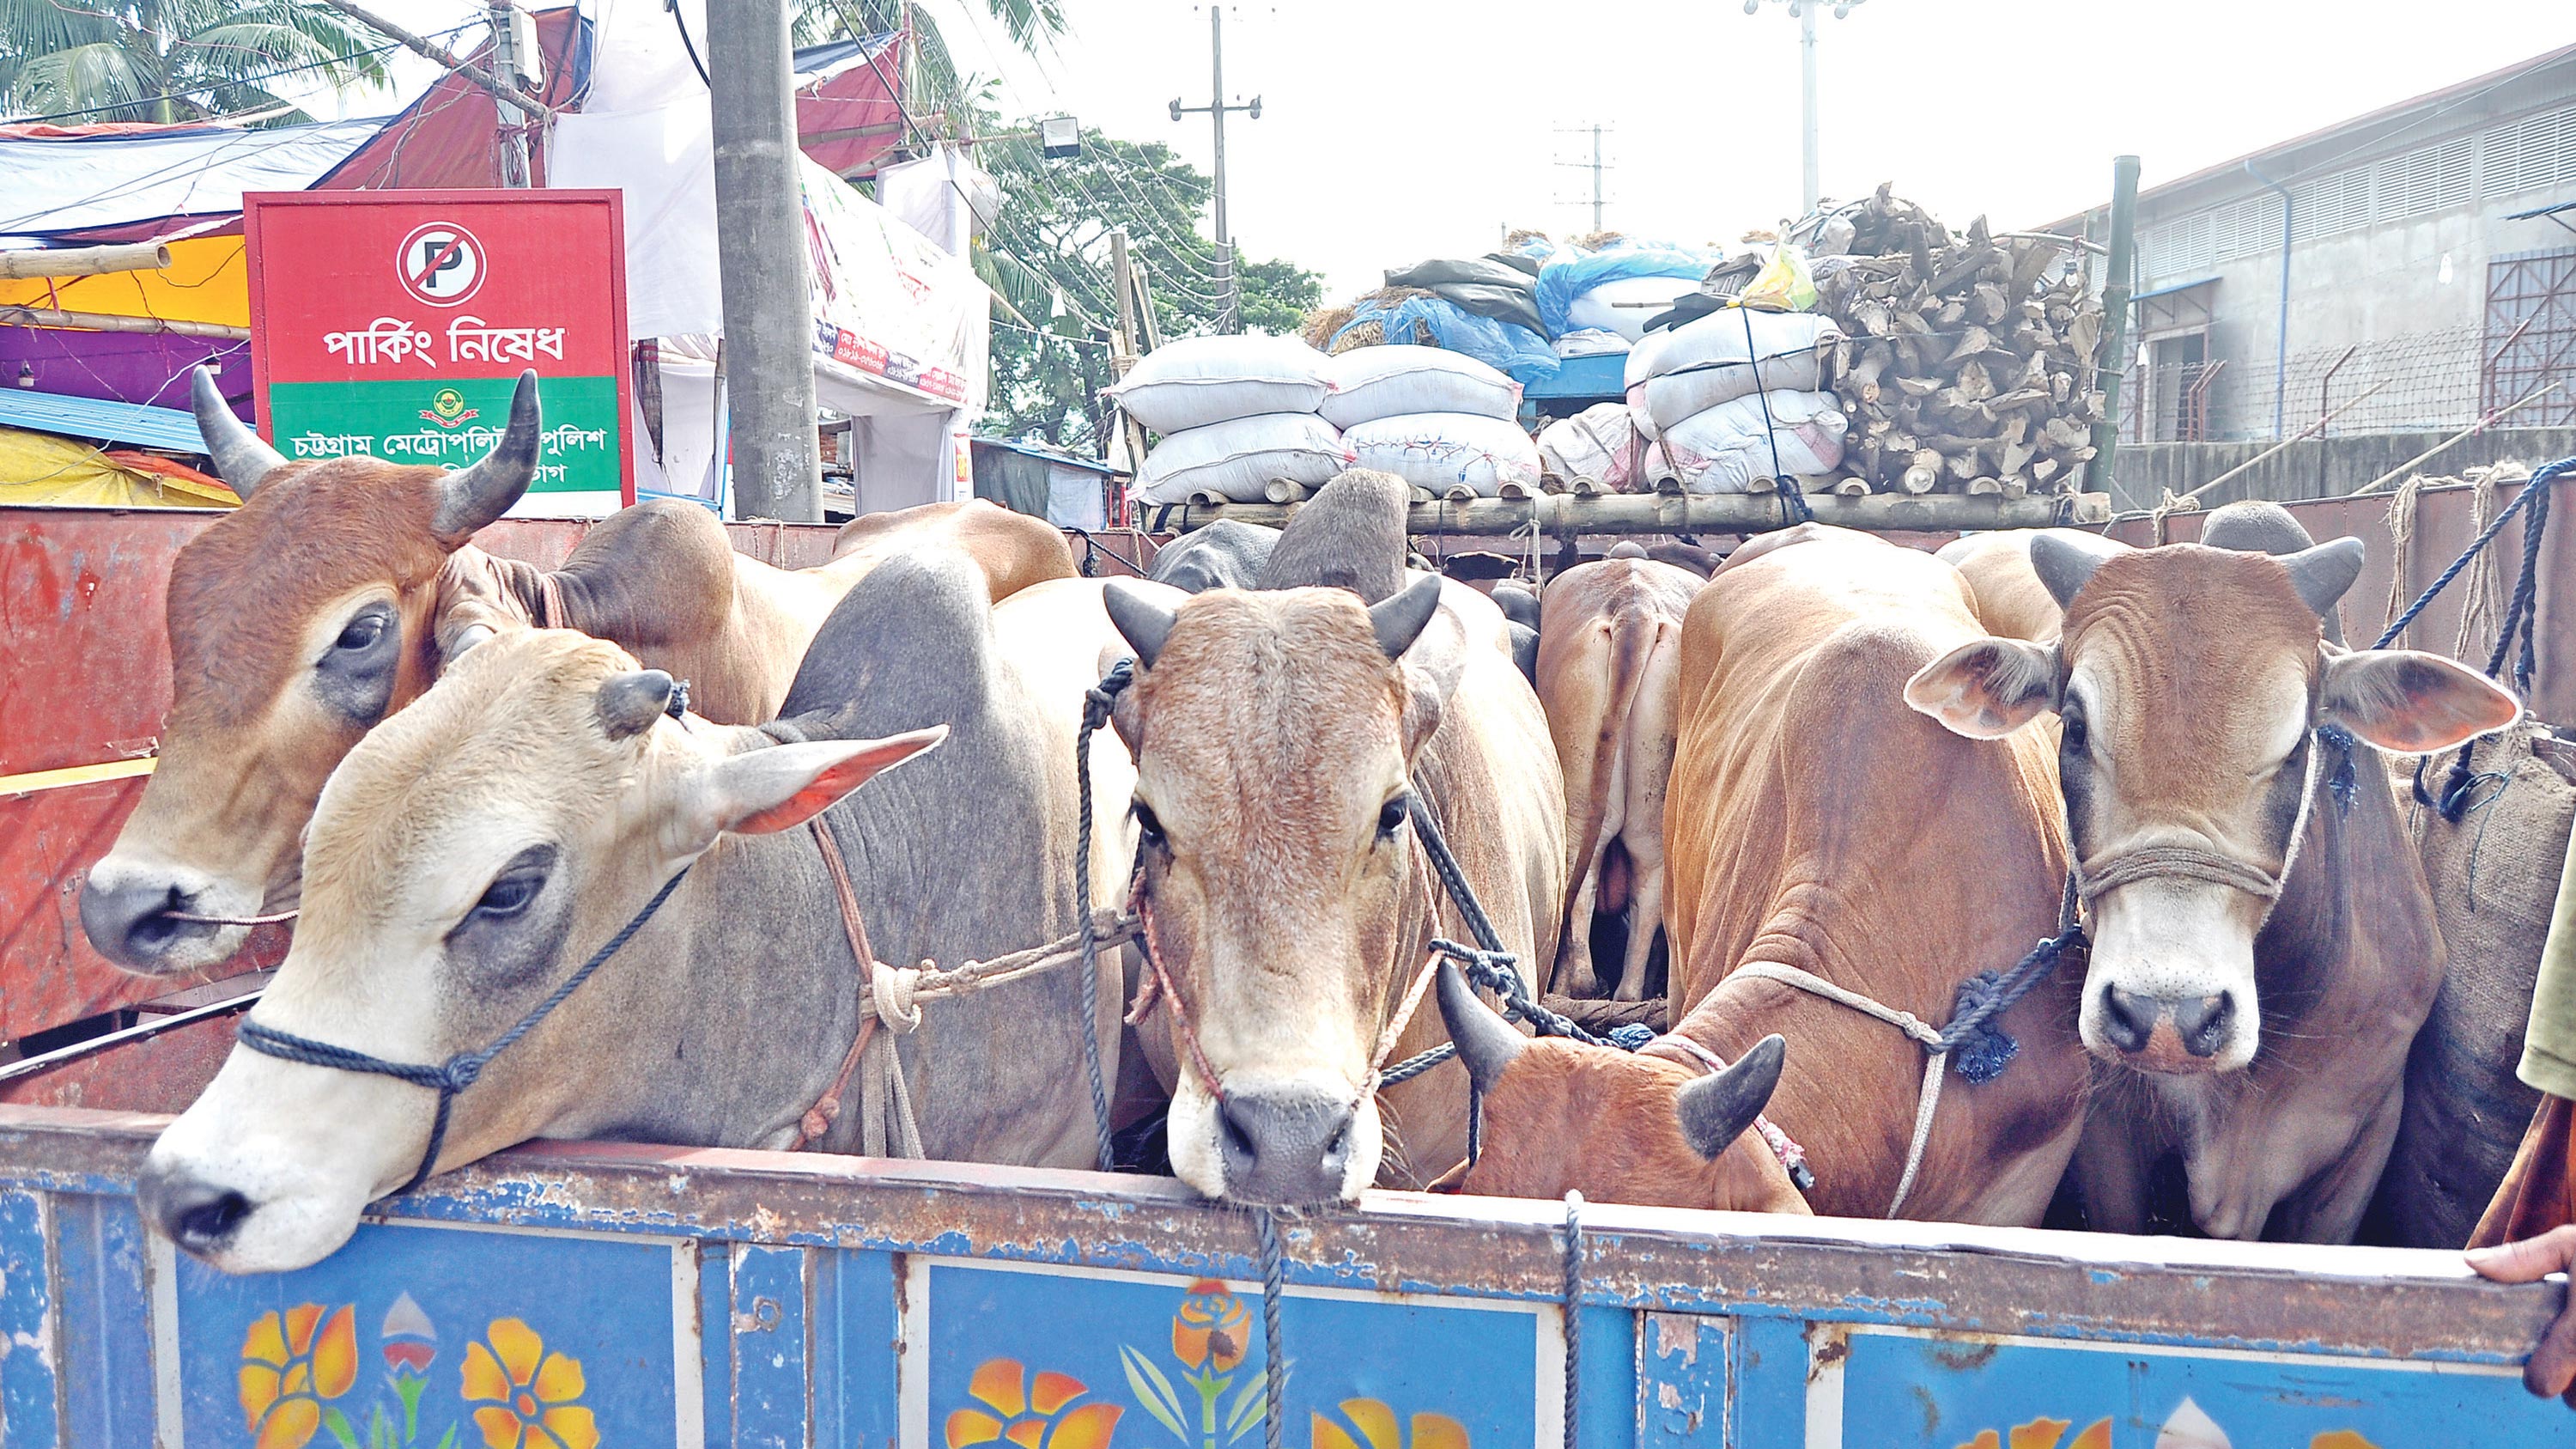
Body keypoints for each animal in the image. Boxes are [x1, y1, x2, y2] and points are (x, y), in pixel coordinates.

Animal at [1525, 536, 1710, 1000]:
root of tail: (1634, 606)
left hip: (1579, 787)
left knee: (1585, 867)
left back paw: (1579, 984)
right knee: (1646, 877)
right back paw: (1623, 991)